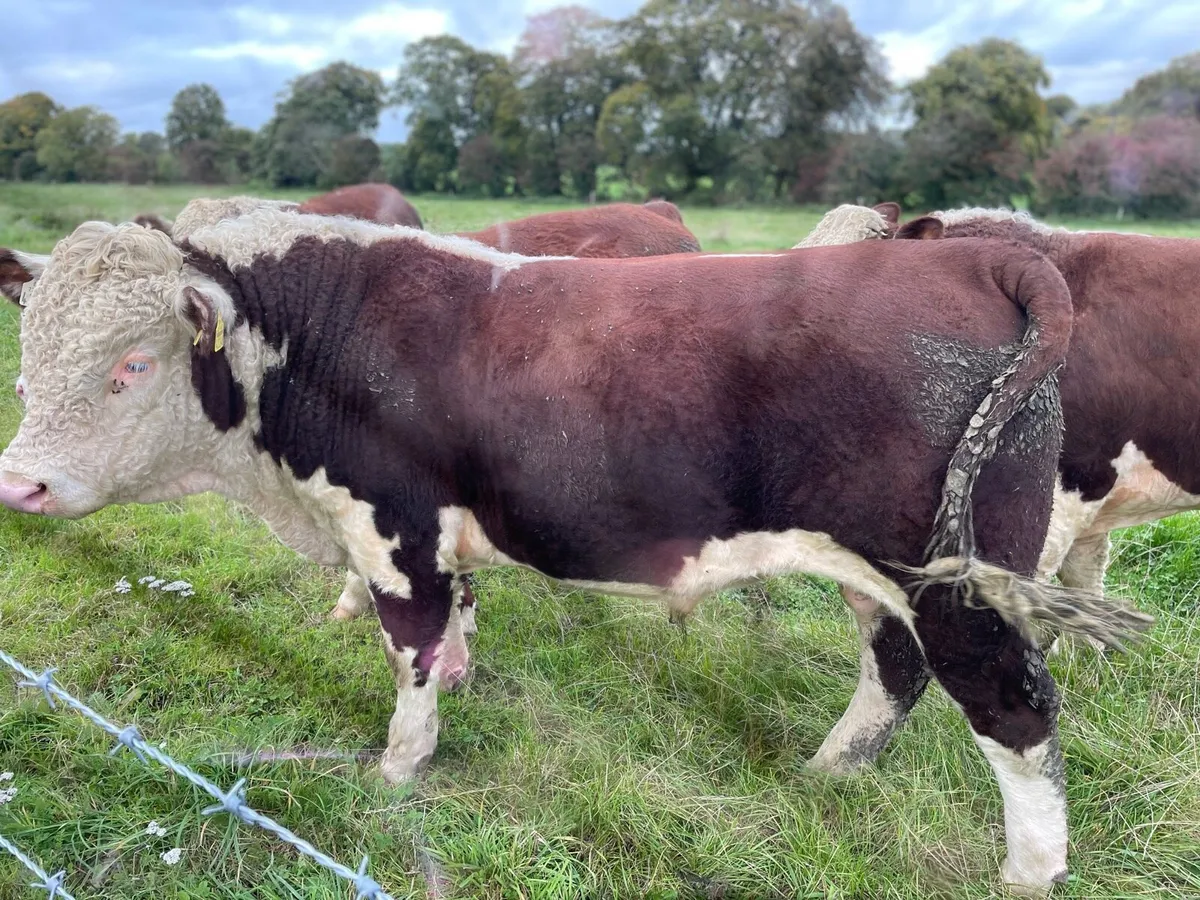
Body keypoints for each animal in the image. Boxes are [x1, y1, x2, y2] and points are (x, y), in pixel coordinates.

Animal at [0, 210, 1150, 894]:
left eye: (130, 363)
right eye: (27, 354)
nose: (21, 483)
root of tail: (977, 252)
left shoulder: (396, 527)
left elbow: (410, 648)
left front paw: (399, 769)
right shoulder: (442, 533)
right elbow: (455, 623)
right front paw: (459, 689)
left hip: (965, 588)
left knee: (1017, 713)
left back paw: (1027, 873)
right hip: (897, 579)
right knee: (895, 669)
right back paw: (830, 772)